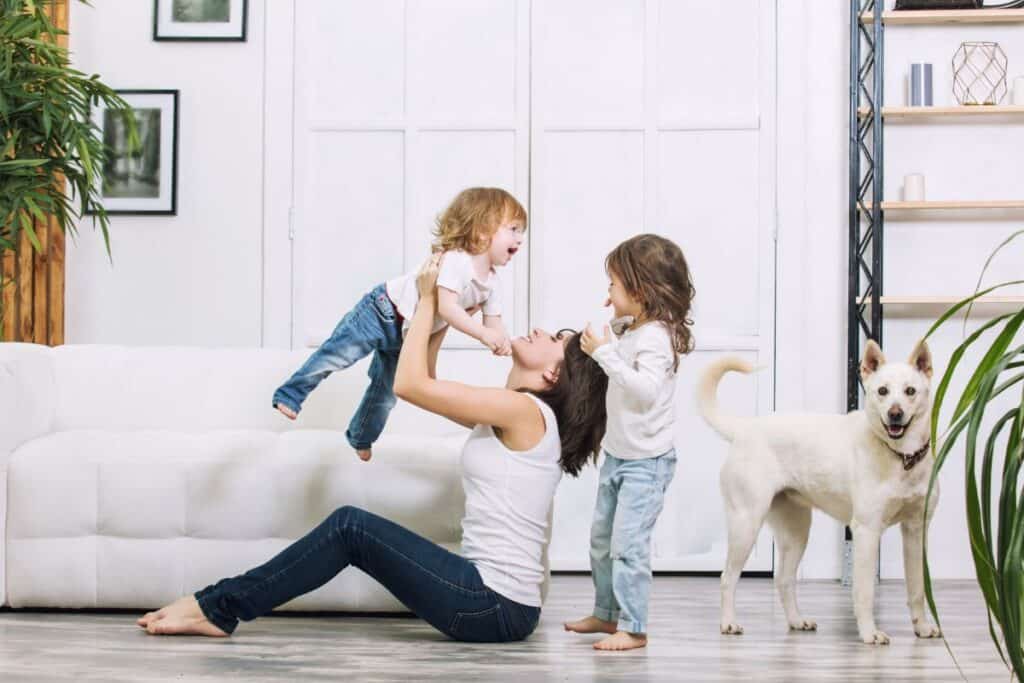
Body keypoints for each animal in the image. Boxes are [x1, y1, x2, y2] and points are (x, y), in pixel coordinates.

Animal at [696, 342, 942, 647]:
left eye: (910, 391)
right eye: (882, 391)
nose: (895, 414)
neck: (901, 457)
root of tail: (745, 428)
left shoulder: (916, 530)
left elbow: (917, 588)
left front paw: (923, 628)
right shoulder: (866, 532)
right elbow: (864, 592)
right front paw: (869, 633)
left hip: (797, 532)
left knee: (783, 580)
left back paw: (796, 621)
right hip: (746, 524)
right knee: (727, 577)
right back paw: (728, 623)